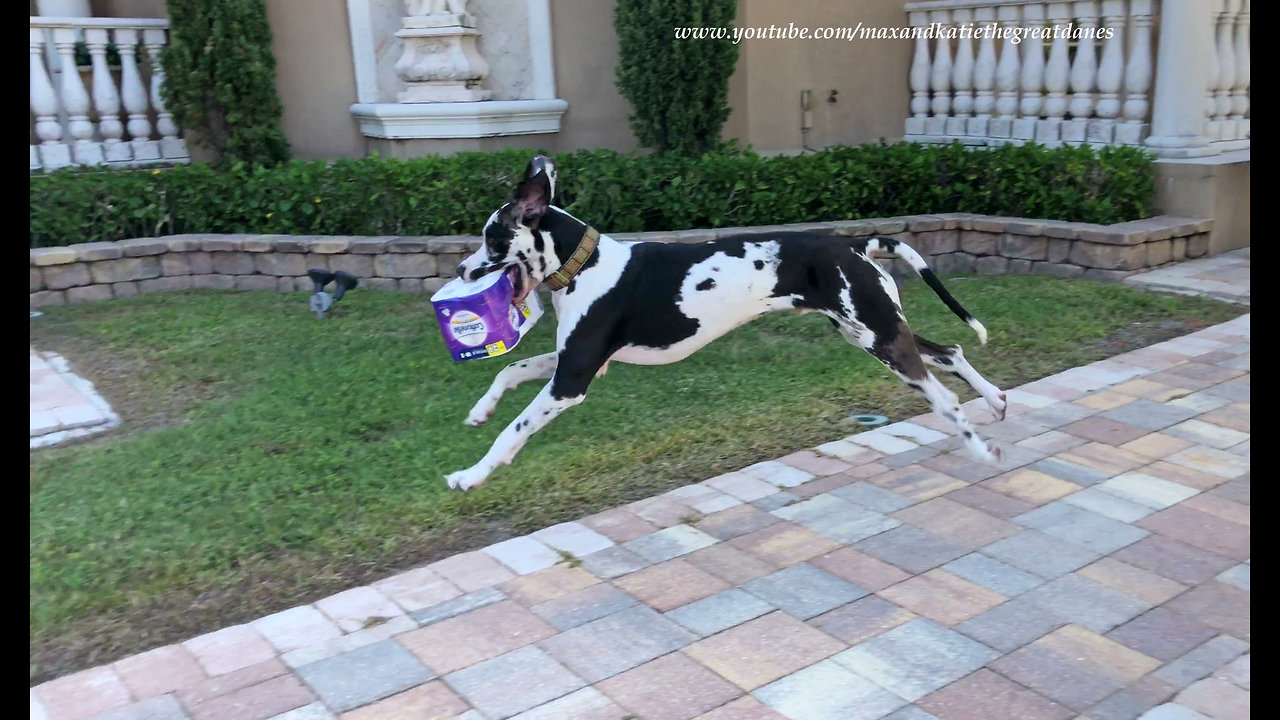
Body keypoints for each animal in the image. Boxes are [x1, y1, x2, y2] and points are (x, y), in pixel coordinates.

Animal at [445, 152, 1003, 486]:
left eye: (492, 238)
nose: (460, 269)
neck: (587, 265)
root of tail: (854, 244)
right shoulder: (580, 365)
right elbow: (509, 369)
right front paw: (478, 411)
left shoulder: (572, 381)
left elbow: (514, 430)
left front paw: (472, 474)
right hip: (872, 330)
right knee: (950, 352)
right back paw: (995, 400)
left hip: (879, 338)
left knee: (944, 397)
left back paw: (981, 449)